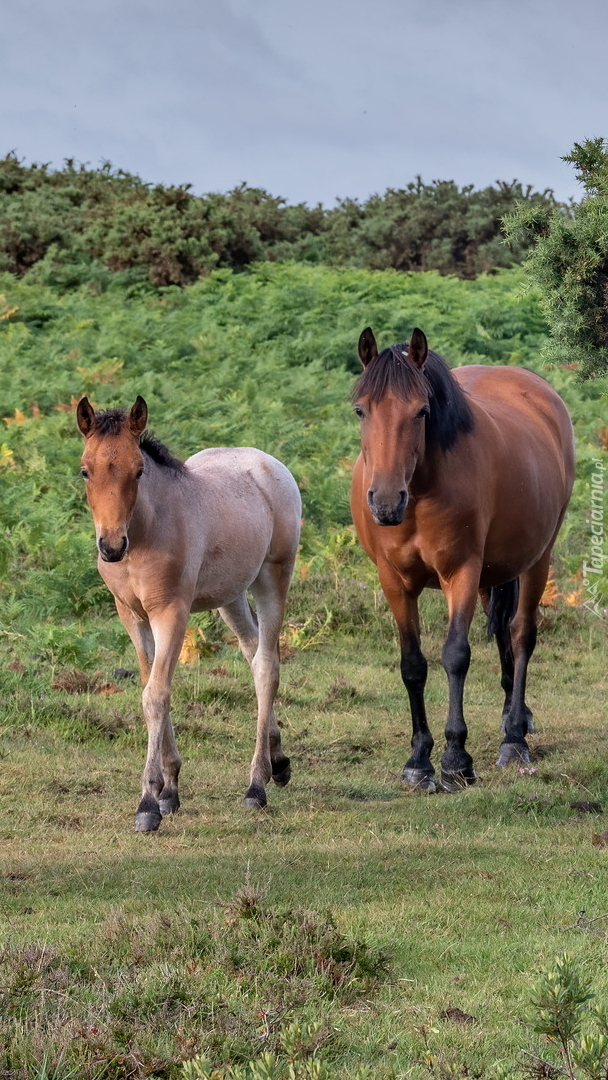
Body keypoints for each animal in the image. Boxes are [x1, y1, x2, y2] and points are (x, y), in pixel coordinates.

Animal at [78, 395, 302, 825]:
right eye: (85, 471)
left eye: (139, 470)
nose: (111, 547)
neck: (146, 532)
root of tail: (266, 462)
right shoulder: (131, 615)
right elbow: (150, 683)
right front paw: (169, 790)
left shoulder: (171, 613)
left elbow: (155, 695)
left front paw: (148, 803)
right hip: (230, 595)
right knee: (252, 652)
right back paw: (278, 760)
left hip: (273, 577)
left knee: (267, 664)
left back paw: (256, 785)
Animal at [352, 324, 574, 790]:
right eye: (361, 410)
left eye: (421, 412)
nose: (386, 502)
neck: (420, 493)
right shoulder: (394, 580)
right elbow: (413, 665)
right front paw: (419, 760)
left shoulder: (462, 573)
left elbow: (455, 656)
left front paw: (456, 759)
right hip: (497, 571)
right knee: (505, 631)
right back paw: (513, 718)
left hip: (536, 560)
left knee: (522, 634)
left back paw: (513, 737)